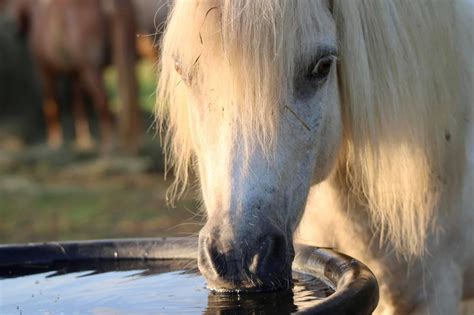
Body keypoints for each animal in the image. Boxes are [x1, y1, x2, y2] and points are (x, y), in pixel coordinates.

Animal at [12, 0, 140, 153]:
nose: (16, 31)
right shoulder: (75, 73)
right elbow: (77, 105)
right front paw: (83, 140)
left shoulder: (45, 70)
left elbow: (51, 105)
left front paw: (55, 142)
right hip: (126, 55)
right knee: (131, 94)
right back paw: (131, 145)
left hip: (91, 67)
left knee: (102, 99)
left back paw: (108, 144)